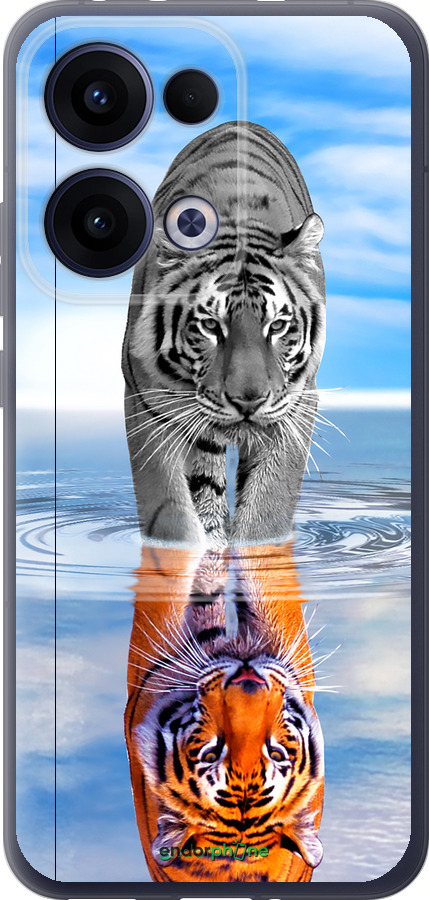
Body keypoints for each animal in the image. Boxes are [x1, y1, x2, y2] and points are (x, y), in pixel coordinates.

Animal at [122, 121, 326, 549]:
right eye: (211, 326)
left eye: (277, 326)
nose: (248, 401)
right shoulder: (146, 401)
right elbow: (170, 511)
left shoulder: (297, 404)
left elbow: (268, 509)